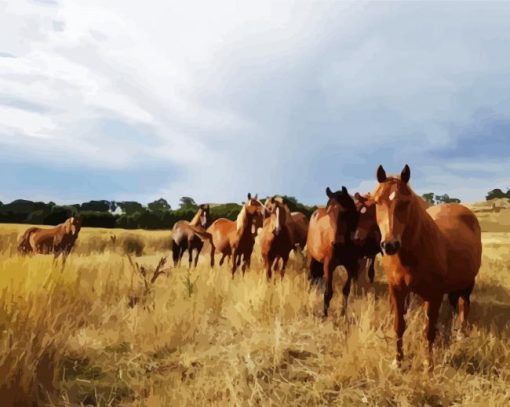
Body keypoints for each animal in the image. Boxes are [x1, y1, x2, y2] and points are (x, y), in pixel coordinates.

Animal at [306, 186, 358, 318]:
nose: (336, 243)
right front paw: (324, 315)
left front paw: (343, 314)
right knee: (310, 277)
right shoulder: (329, 266)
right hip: (311, 258)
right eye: (329, 213)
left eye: (345, 213)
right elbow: (328, 292)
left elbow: (346, 290)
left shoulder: (351, 266)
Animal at [372, 164, 480, 368]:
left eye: (405, 202)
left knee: (464, 305)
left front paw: (427, 364)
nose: (389, 245)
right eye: (377, 202)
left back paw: (461, 334)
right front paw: (398, 361)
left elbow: (428, 330)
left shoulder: (434, 294)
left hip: (467, 283)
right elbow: (399, 326)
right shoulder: (397, 291)